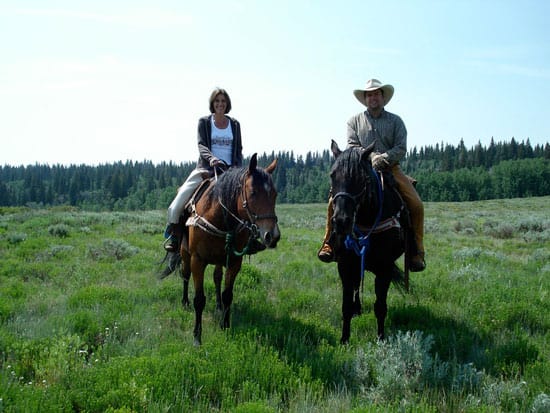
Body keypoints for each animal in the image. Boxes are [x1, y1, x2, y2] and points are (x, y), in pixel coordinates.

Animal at [162, 154, 278, 344]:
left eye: (275, 194)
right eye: (253, 192)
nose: (272, 236)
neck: (219, 217)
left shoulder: (235, 261)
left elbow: (227, 295)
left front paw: (225, 325)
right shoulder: (197, 260)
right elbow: (199, 299)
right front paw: (197, 336)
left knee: (217, 277)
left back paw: (217, 305)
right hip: (185, 253)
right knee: (185, 275)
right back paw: (185, 302)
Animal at [328, 140, 410, 342]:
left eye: (361, 177)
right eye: (332, 175)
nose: (341, 221)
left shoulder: (385, 268)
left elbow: (380, 307)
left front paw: (381, 338)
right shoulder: (345, 265)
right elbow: (346, 305)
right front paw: (344, 339)